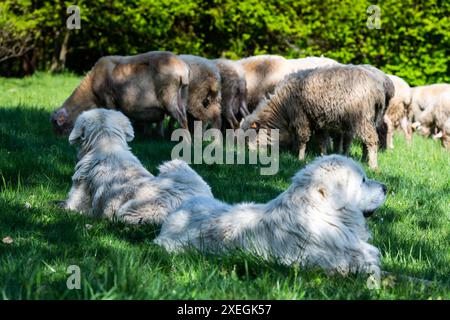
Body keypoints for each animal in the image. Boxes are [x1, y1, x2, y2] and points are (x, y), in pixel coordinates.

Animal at [50, 50, 188, 136]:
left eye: (56, 124)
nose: (57, 139)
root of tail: (183, 69)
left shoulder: (108, 97)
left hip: (169, 96)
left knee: (181, 119)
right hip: (181, 97)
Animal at [241, 65, 392, 170]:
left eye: (251, 136)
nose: (250, 156)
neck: (282, 106)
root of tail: (378, 88)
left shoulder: (301, 117)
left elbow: (303, 138)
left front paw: (300, 158)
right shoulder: (319, 121)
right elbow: (322, 141)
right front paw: (323, 157)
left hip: (361, 117)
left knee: (371, 140)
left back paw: (373, 165)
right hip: (374, 117)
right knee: (367, 140)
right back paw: (365, 160)